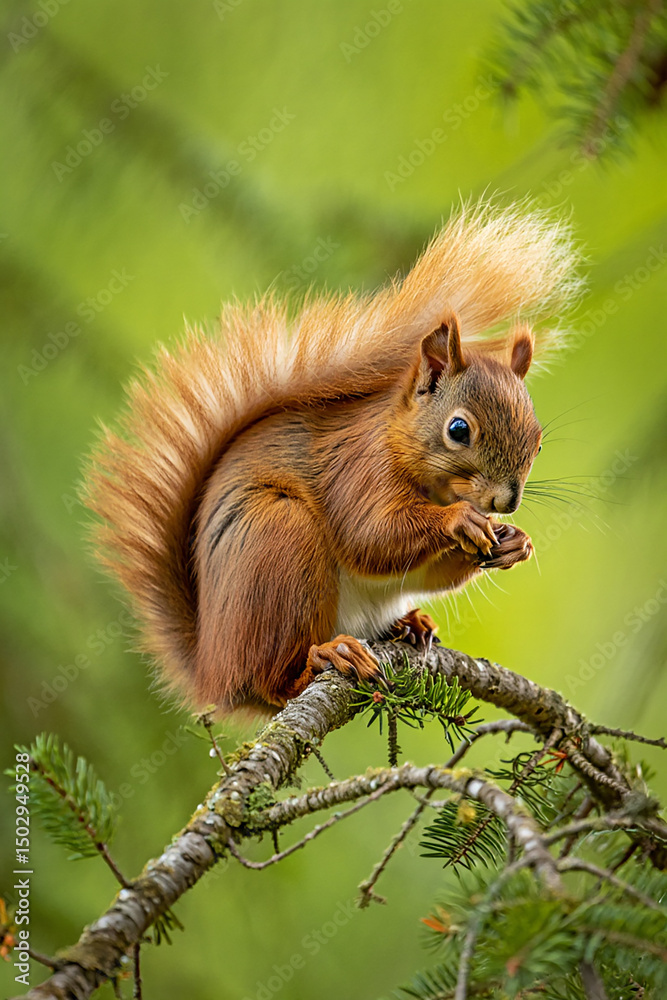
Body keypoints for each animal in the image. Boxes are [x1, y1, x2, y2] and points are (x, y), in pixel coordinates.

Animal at [84, 201, 580, 713]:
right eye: (458, 430)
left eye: (538, 442)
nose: (506, 503)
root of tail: (212, 672)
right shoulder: (358, 470)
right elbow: (370, 536)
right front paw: (460, 520)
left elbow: (425, 571)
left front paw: (515, 542)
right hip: (278, 540)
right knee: (273, 682)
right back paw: (325, 656)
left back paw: (409, 625)